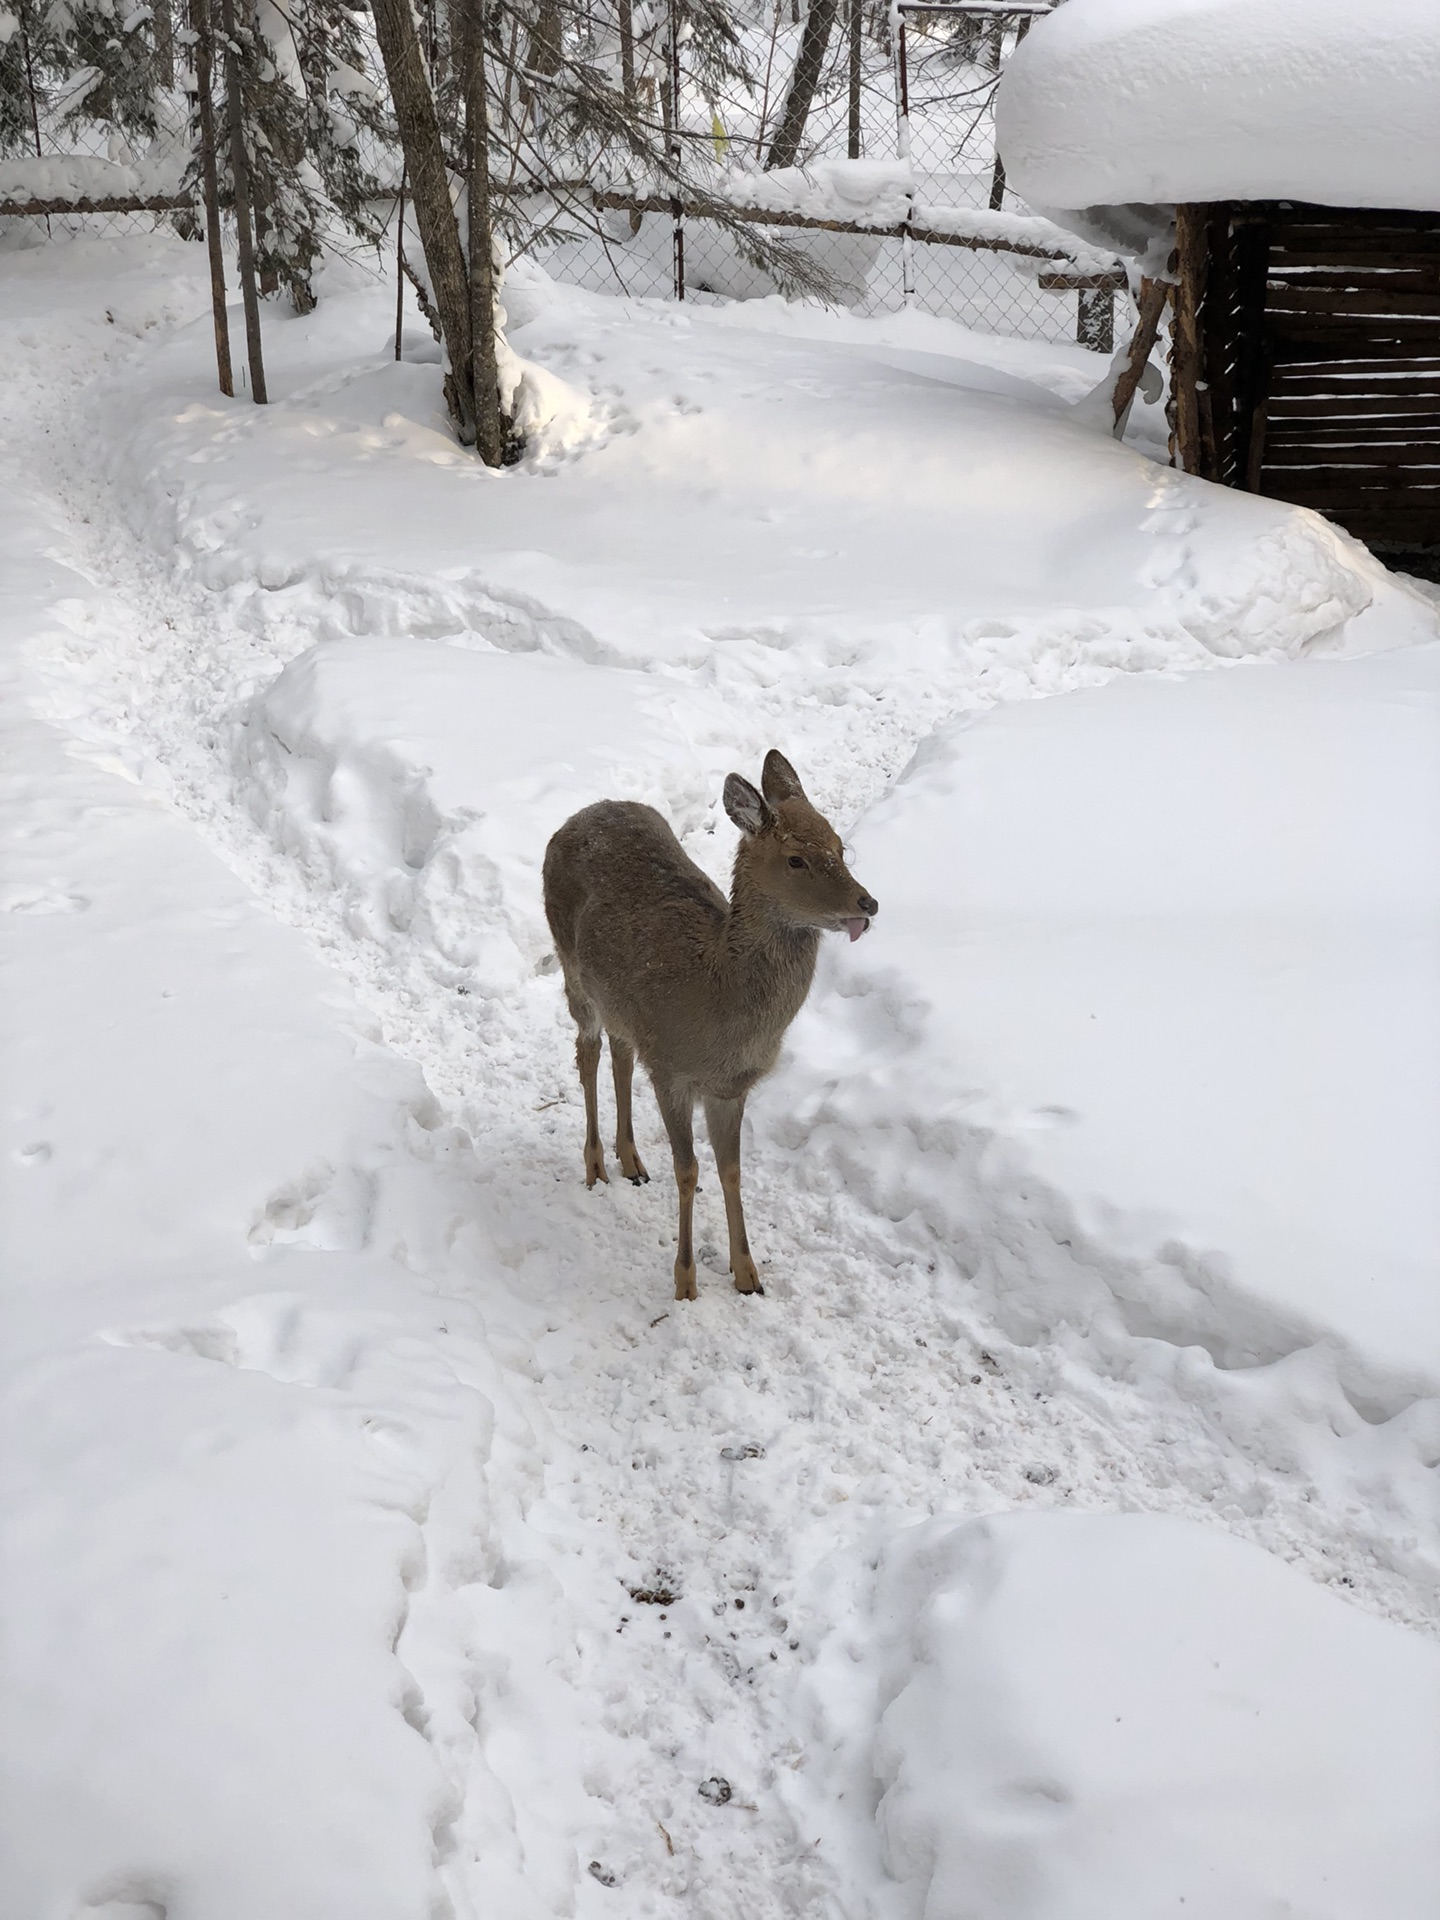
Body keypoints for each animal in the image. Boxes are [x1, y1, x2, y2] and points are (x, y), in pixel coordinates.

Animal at [541, 748, 879, 1305]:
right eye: (796, 859)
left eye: (839, 845)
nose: (867, 904)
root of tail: (578, 816)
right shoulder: (672, 1071)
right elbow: (688, 1170)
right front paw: (685, 1283)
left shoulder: (729, 1087)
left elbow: (731, 1169)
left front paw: (748, 1275)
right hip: (572, 968)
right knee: (586, 1051)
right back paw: (595, 1166)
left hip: (621, 1006)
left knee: (620, 1052)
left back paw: (631, 1160)